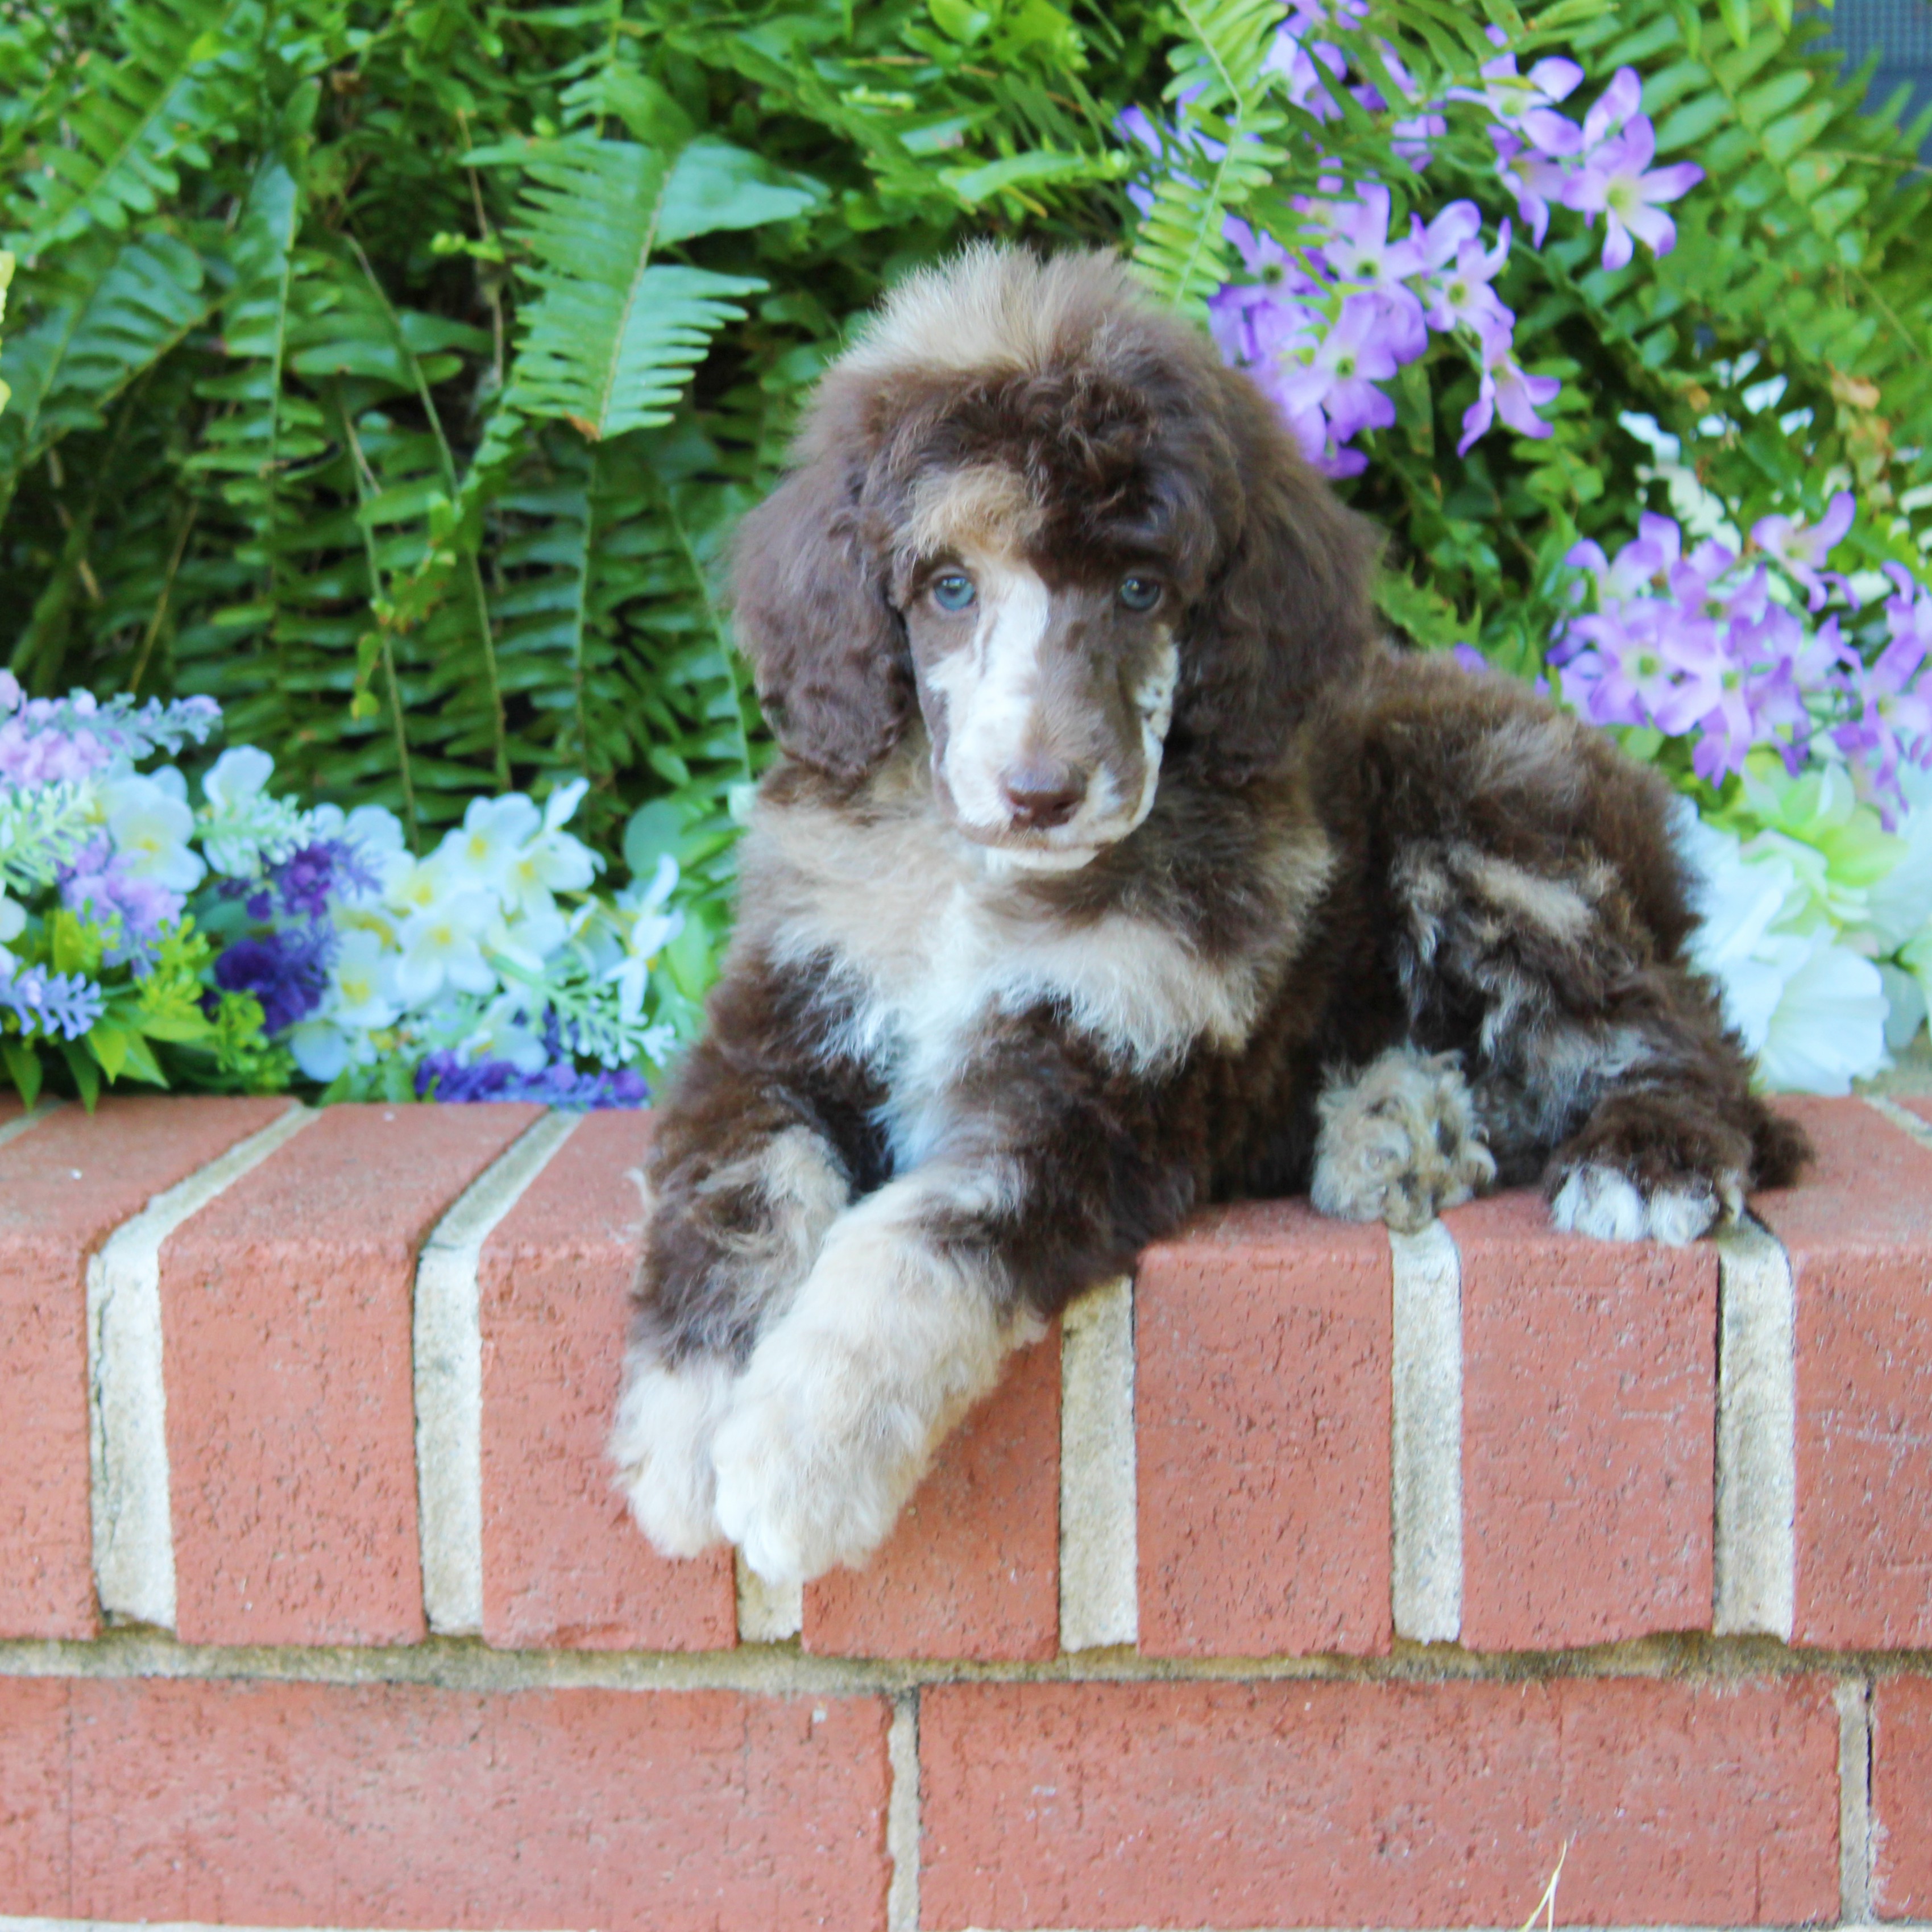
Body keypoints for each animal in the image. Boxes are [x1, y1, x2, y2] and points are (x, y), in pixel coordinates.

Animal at [610, 245, 1800, 1584]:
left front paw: (795, 1457)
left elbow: (926, 1232)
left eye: (1141, 588)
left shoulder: (1106, 1089)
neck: (981, 879)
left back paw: (1642, 1157)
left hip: (1492, 824)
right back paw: (1400, 1126)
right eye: (948, 587)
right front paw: (685, 1446)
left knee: (1665, 1032)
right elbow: (739, 1192)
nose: (1040, 792)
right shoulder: (782, 1015)